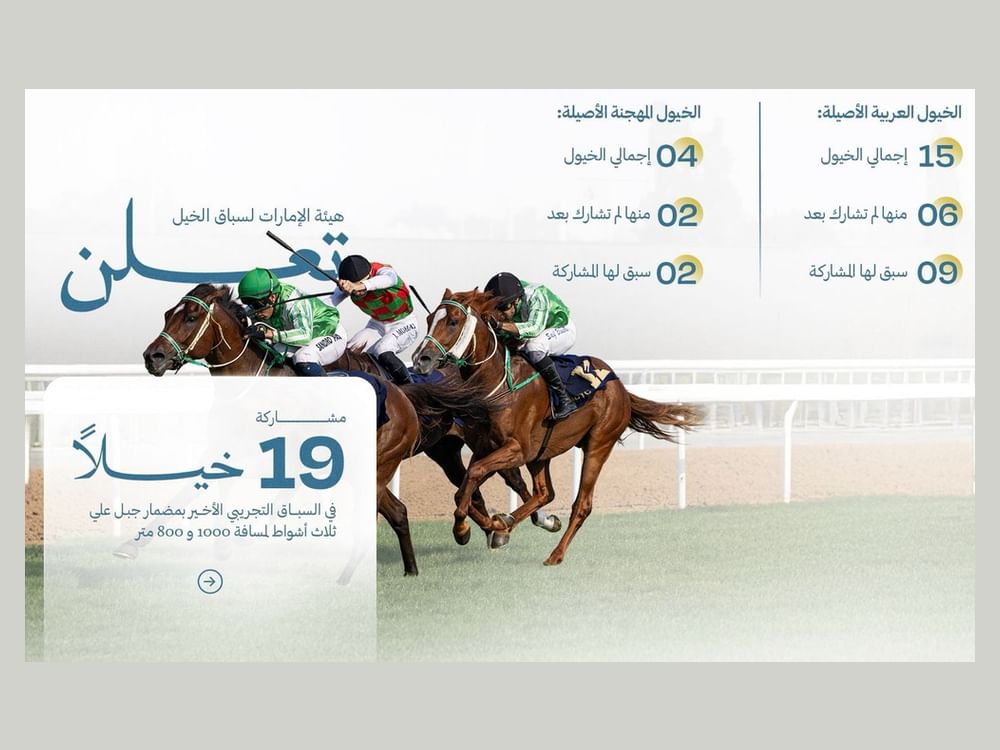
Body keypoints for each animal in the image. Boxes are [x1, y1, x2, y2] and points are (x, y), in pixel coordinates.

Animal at [140, 283, 497, 576]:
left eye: (191, 317)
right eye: (168, 314)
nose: (152, 356)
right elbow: (196, 490)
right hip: (438, 452)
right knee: (437, 500)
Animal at [412, 288, 702, 566]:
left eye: (453, 321)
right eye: (429, 319)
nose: (421, 359)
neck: (497, 383)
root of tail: (620, 386)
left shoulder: (516, 449)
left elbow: (473, 477)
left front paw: (465, 528)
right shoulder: (487, 448)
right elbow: (466, 487)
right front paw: (489, 526)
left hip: (598, 445)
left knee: (581, 504)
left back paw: (555, 554)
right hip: (541, 454)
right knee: (544, 493)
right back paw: (512, 524)